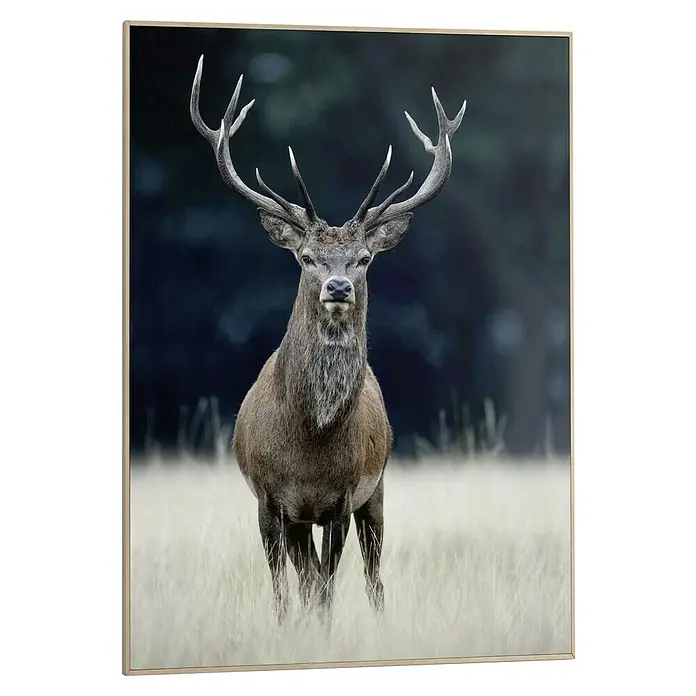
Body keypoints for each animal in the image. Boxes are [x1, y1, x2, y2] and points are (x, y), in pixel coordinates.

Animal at [190, 55, 466, 621]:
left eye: (363, 258)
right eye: (306, 257)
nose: (338, 286)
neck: (309, 445)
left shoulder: (341, 498)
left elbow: (327, 588)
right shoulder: (270, 501)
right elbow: (286, 589)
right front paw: (285, 628)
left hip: (377, 491)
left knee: (373, 577)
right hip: (302, 518)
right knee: (305, 576)